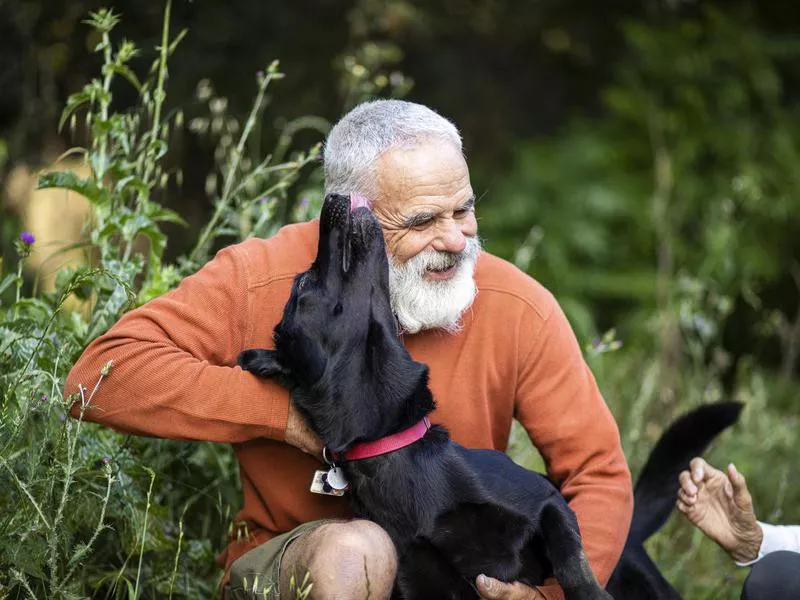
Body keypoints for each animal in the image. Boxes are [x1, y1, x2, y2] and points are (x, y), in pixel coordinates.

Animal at [239, 195, 744, 596]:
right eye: (304, 283)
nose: (334, 199)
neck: (395, 451)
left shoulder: (547, 502)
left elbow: (572, 561)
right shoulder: (427, 583)